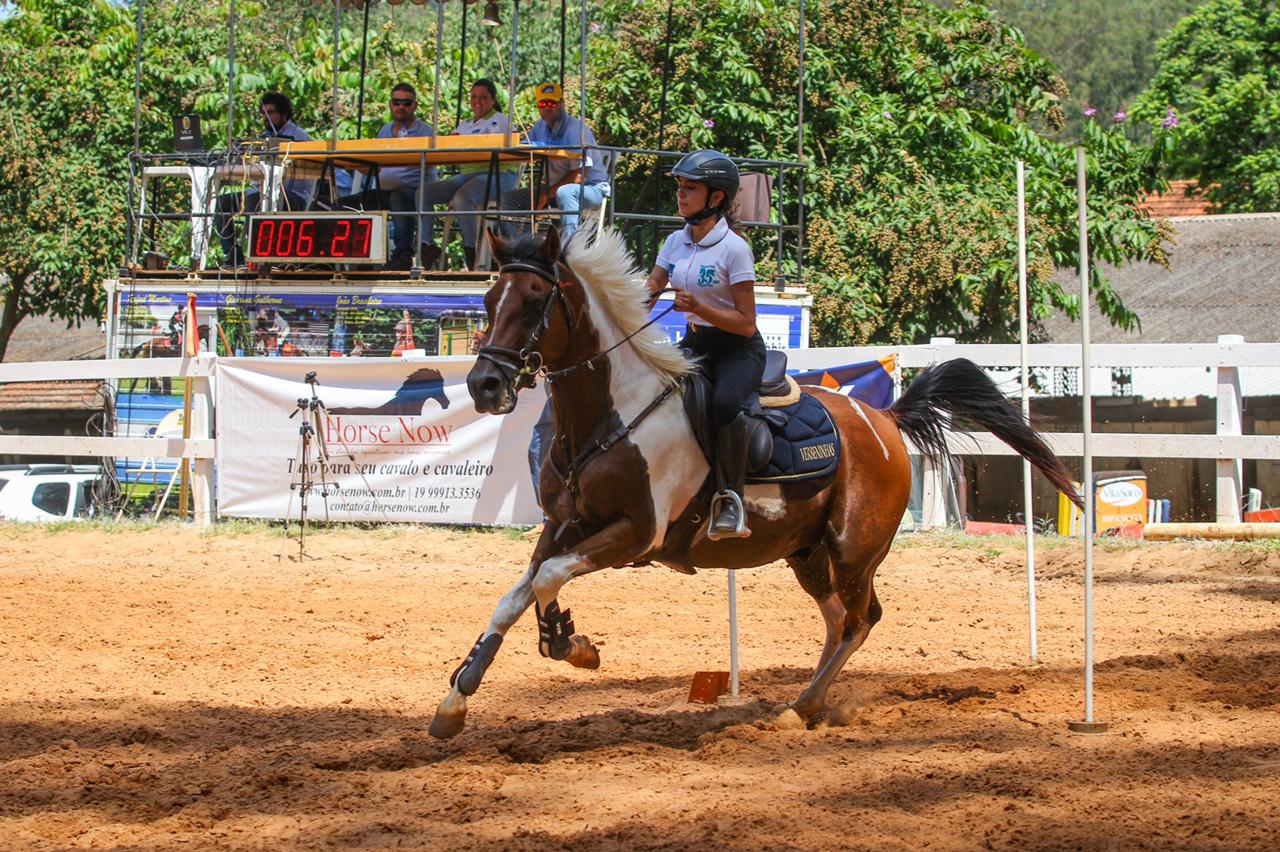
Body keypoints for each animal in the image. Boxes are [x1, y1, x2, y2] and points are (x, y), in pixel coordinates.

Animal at [430, 225, 1080, 736]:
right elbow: (520, 593)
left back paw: (802, 708)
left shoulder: (635, 534)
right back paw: (805, 702)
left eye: (536, 300)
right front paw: (461, 696)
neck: (608, 417)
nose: (484, 384)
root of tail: (886, 419)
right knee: (839, 619)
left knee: (861, 618)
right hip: (807, 553)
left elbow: (547, 579)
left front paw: (574, 646)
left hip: (854, 550)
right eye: (488, 297)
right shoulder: (565, 524)